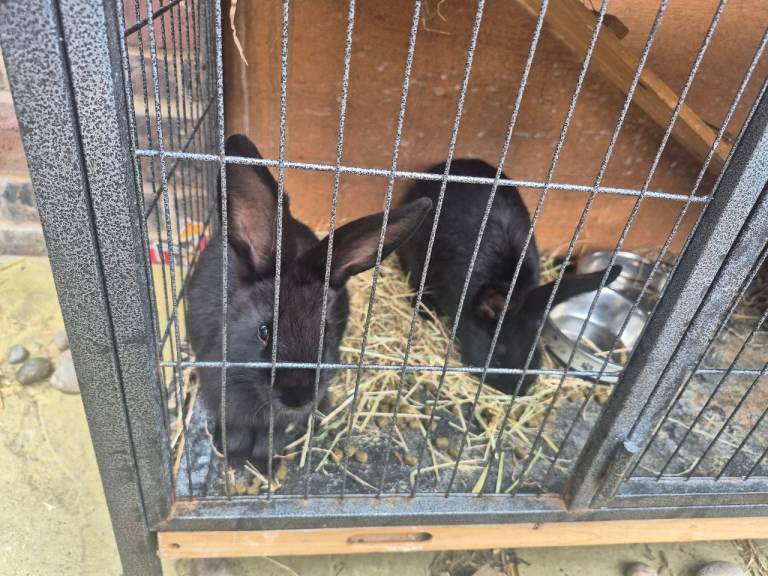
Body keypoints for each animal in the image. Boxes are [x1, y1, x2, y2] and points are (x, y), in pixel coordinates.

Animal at [185, 134, 432, 469]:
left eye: (325, 332)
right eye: (264, 331)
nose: (297, 397)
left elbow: (271, 436)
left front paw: (265, 463)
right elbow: (235, 429)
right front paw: (235, 459)